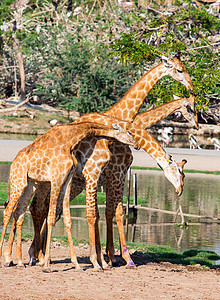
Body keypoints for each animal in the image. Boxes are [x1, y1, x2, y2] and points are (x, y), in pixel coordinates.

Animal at [0, 120, 139, 272]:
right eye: (129, 132)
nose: (136, 145)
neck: (70, 141)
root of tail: (12, 163)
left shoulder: (67, 180)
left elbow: (67, 219)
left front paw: (76, 264)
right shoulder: (56, 179)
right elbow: (51, 217)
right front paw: (47, 265)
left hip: (31, 184)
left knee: (19, 212)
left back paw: (19, 261)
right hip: (18, 183)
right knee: (9, 211)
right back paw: (6, 257)